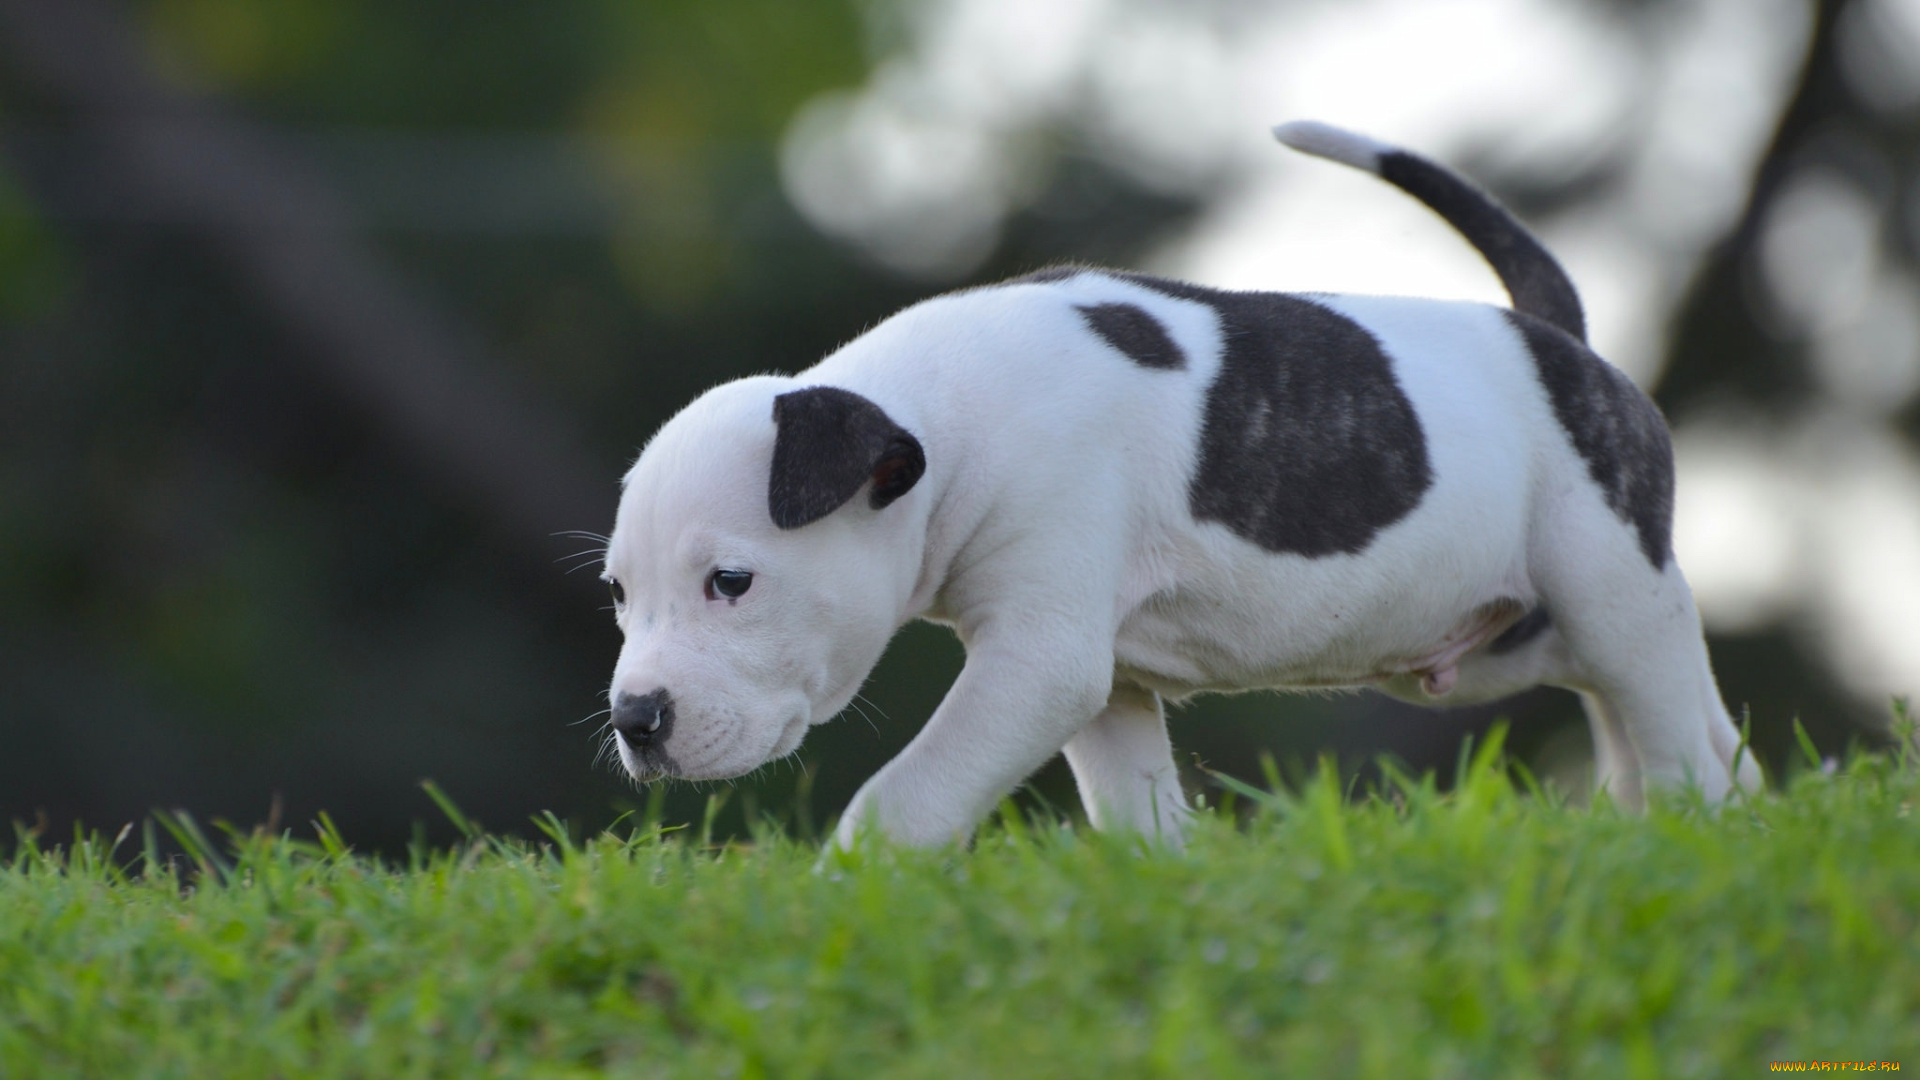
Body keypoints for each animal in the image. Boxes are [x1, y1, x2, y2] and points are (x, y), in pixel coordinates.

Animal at [595, 117, 1758, 841]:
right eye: (616, 593)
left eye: (731, 583)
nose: (636, 721)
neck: (945, 418)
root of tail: (1557, 336)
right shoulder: (1104, 684)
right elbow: (1138, 818)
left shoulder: (1039, 660)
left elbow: (904, 797)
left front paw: (858, 893)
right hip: (1525, 638)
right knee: (1678, 732)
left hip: (1610, 581)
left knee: (1676, 732)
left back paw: (1688, 834)